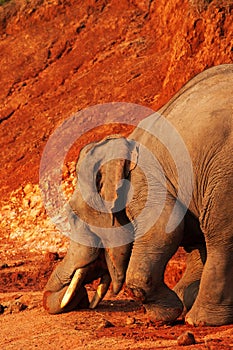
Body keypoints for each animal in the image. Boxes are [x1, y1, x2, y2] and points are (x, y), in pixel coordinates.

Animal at [43, 64, 233, 326]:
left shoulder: (149, 180)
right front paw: (182, 301)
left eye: (73, 216)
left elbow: (164, 231)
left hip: (224, 170)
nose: (82, 299)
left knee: (219, 234)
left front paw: (166, 315)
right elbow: (193, 242)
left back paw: (200, 321)